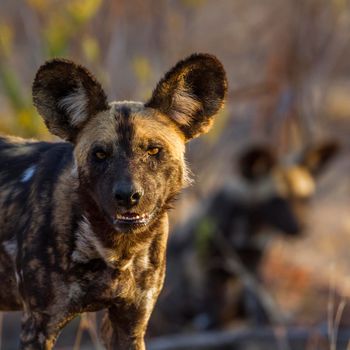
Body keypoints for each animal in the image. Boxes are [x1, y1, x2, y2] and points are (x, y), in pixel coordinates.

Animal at [0, 53, 227, 348]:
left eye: (153, 150)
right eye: (100, 154)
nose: (127, 195)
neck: (116, 250)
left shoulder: (130, 324)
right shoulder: (38, 325)